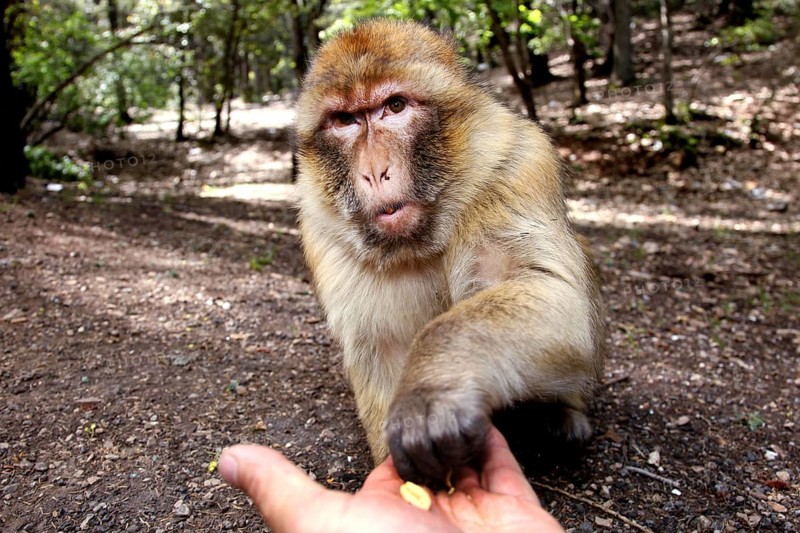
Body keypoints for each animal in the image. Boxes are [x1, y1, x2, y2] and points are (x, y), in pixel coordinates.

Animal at [294, 19, 606, 485]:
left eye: (395, 106)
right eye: (345, 120)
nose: (374, 172)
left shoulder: (514, 166)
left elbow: (553, 292)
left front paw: (431, 388)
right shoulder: (322, 232)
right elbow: (379, 344)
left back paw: (560, 416)